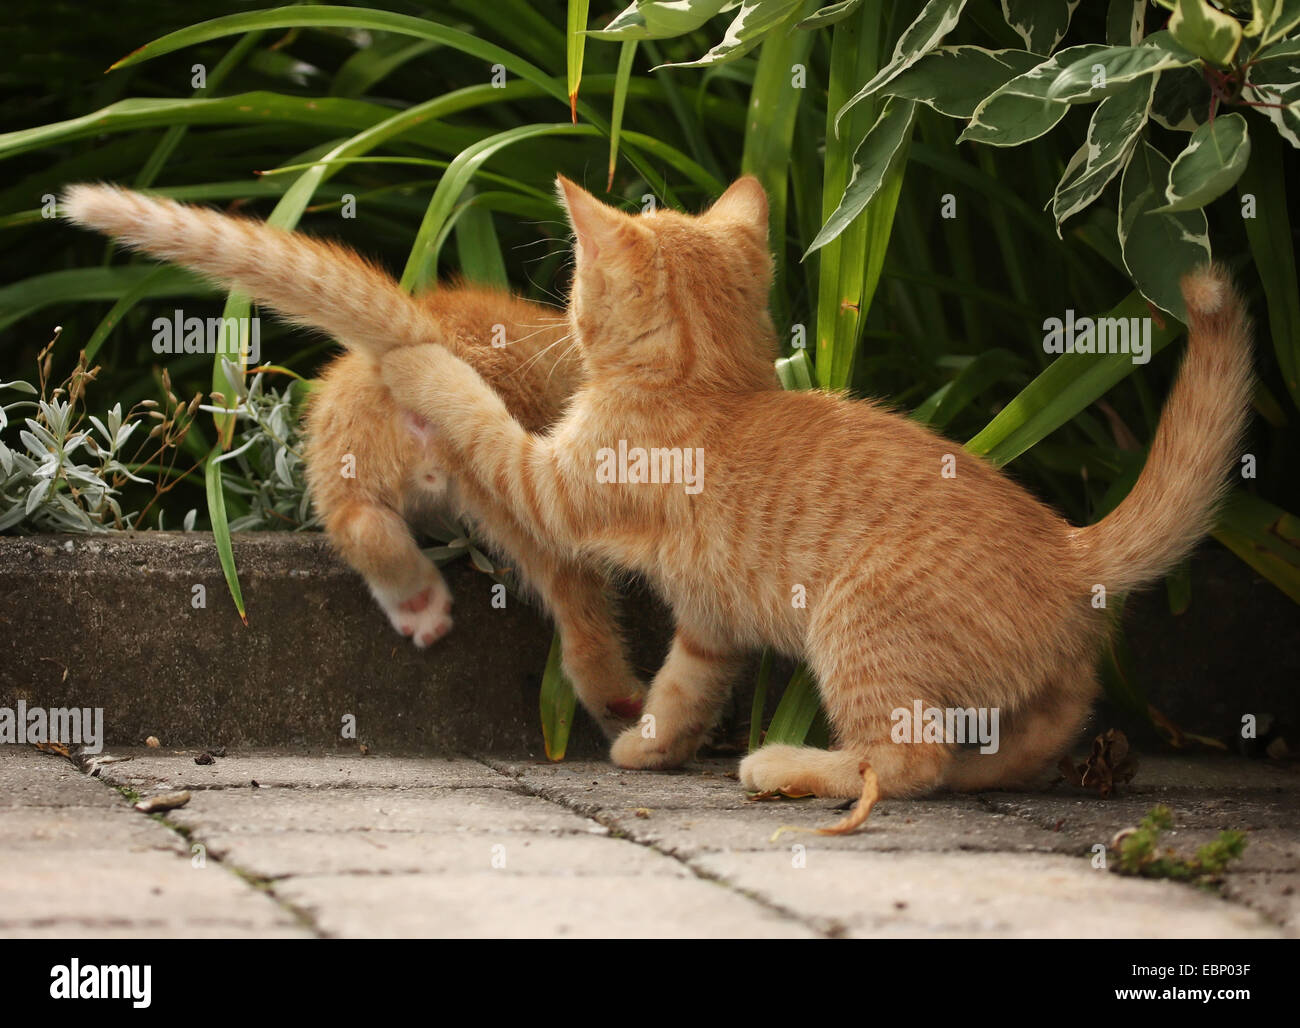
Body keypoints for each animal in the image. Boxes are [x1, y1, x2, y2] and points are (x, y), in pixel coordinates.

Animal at [59, 184, 644, 738]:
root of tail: (431, 336)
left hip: (339, 457)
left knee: (362, 525)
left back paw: (416, 600)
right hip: (524, 485)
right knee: (583, 622)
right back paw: (625, 707)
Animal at [374, 176, 1248, 831]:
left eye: (576, 281)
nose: (563, 308)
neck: (710, 386)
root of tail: (1069, 545)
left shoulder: (549, 485)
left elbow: (479, 418)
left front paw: (420, 361)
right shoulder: (712, 621)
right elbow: (684, 684)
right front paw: (650, 744)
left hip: (854, 622)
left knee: (905, 760)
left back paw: (790, 765)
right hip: (1045, 684)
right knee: (1028, 738)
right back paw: (979, 770)